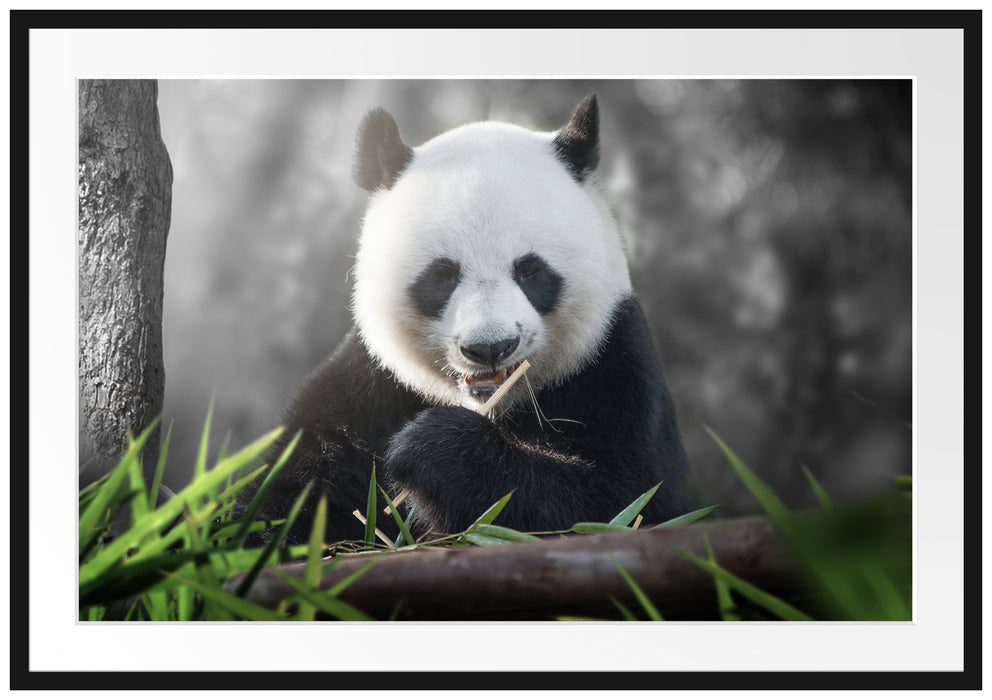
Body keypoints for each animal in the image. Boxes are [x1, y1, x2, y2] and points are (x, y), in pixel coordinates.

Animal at [239, 95, 694, 544]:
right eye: (442, 275)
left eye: (530, 271)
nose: (490, 348)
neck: (491, 405)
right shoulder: (370, 386)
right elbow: (292, 489)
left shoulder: (612, 367)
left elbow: (616, 502)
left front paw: (432, 448)